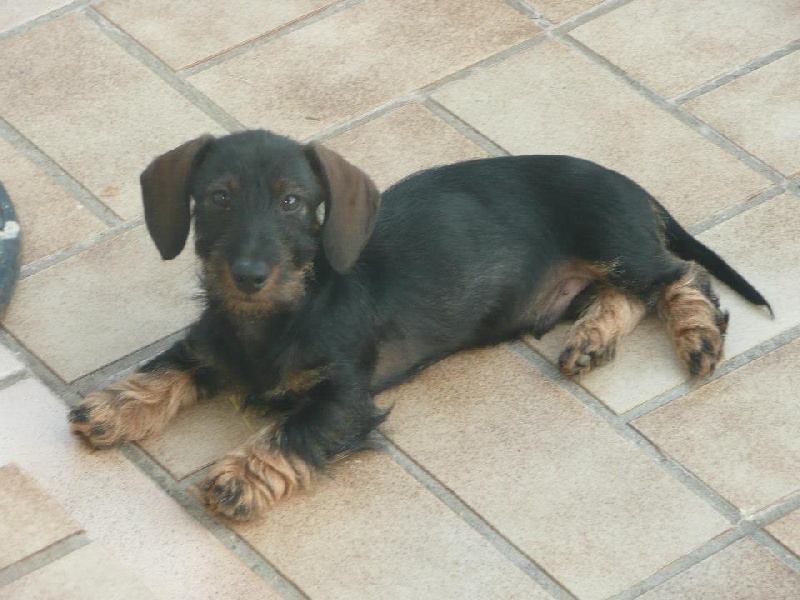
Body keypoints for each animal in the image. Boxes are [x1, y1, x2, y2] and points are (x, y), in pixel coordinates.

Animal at [69, 127, 768, 520]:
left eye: (293, 201)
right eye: (218, 197)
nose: (247, 274)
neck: (275, 317)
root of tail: (634, 187)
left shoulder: (345, 398)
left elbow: (292, 432)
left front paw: (239, 477)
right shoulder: (211, 344)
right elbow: (168, 365)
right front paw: (113, 406)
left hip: (617, 243)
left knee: (681, 278)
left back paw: (698, 338)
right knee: (626, 296)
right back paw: (591, 342)